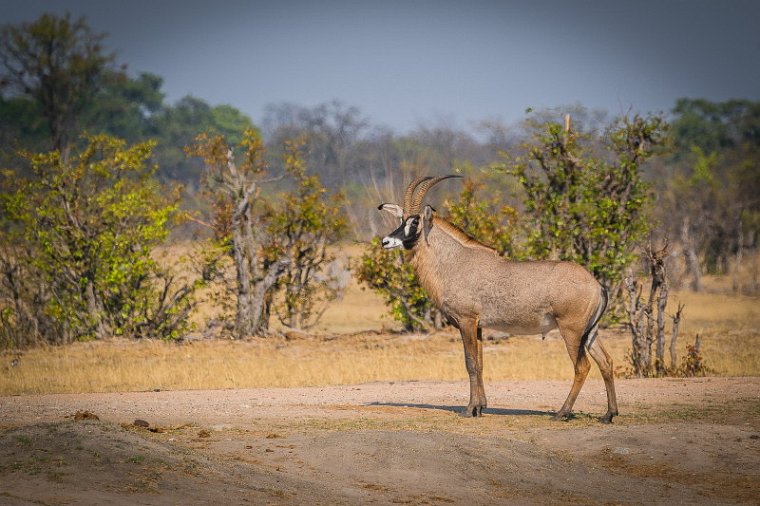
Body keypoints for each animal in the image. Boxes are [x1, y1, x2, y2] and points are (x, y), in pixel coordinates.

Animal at [380, 176, 616, 422]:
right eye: (401, 219)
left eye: (415, 222)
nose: (386, 241)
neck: (455, 260)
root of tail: (597, 285)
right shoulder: (478, 326)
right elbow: (480, 363)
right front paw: (480, 406)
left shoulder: (466, 321)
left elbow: (470, 363)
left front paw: (470, 409)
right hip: (590, 332)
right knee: (606, 362)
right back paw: (609, 414)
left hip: (571, 330)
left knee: (582, 367)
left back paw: (562, 413)